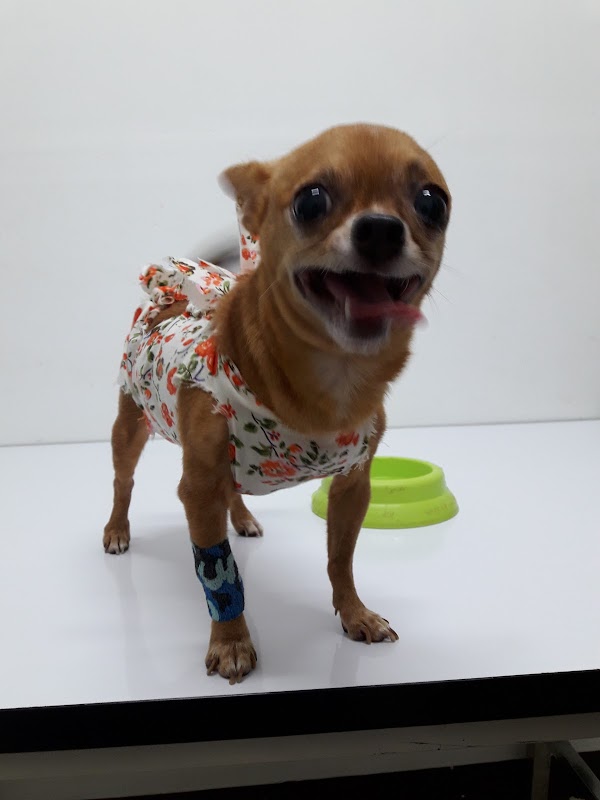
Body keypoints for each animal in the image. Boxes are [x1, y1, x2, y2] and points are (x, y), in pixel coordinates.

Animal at [104, 123, 451, 683]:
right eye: (311, 201)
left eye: (432, 202)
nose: (380, 229)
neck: (330, 381)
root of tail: (173, 300)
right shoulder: (196, 489)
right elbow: (218, 574)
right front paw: (231, 642)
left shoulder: (353, 486)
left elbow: (340, 558)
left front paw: (355, 613)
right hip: (130, 427)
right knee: (123, 481)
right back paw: (117, 529)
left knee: (232, 491)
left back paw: (243, 517)